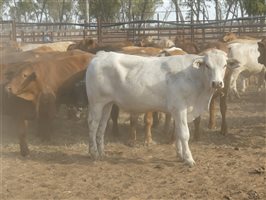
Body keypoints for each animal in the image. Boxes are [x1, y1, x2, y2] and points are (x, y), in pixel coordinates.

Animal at [85, 48, 239, 166]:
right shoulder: (180, 108)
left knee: (102, 127)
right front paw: (189, 159)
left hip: (107, 104)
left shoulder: (178, 111)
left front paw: (180, 155)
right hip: (96, 103)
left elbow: (177, 132)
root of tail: (100, 55)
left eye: (224, 65)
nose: (217, 83)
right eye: (207, 65)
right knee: (92, 125)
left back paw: (102, 153)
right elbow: (184, 134)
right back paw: (93, 153)